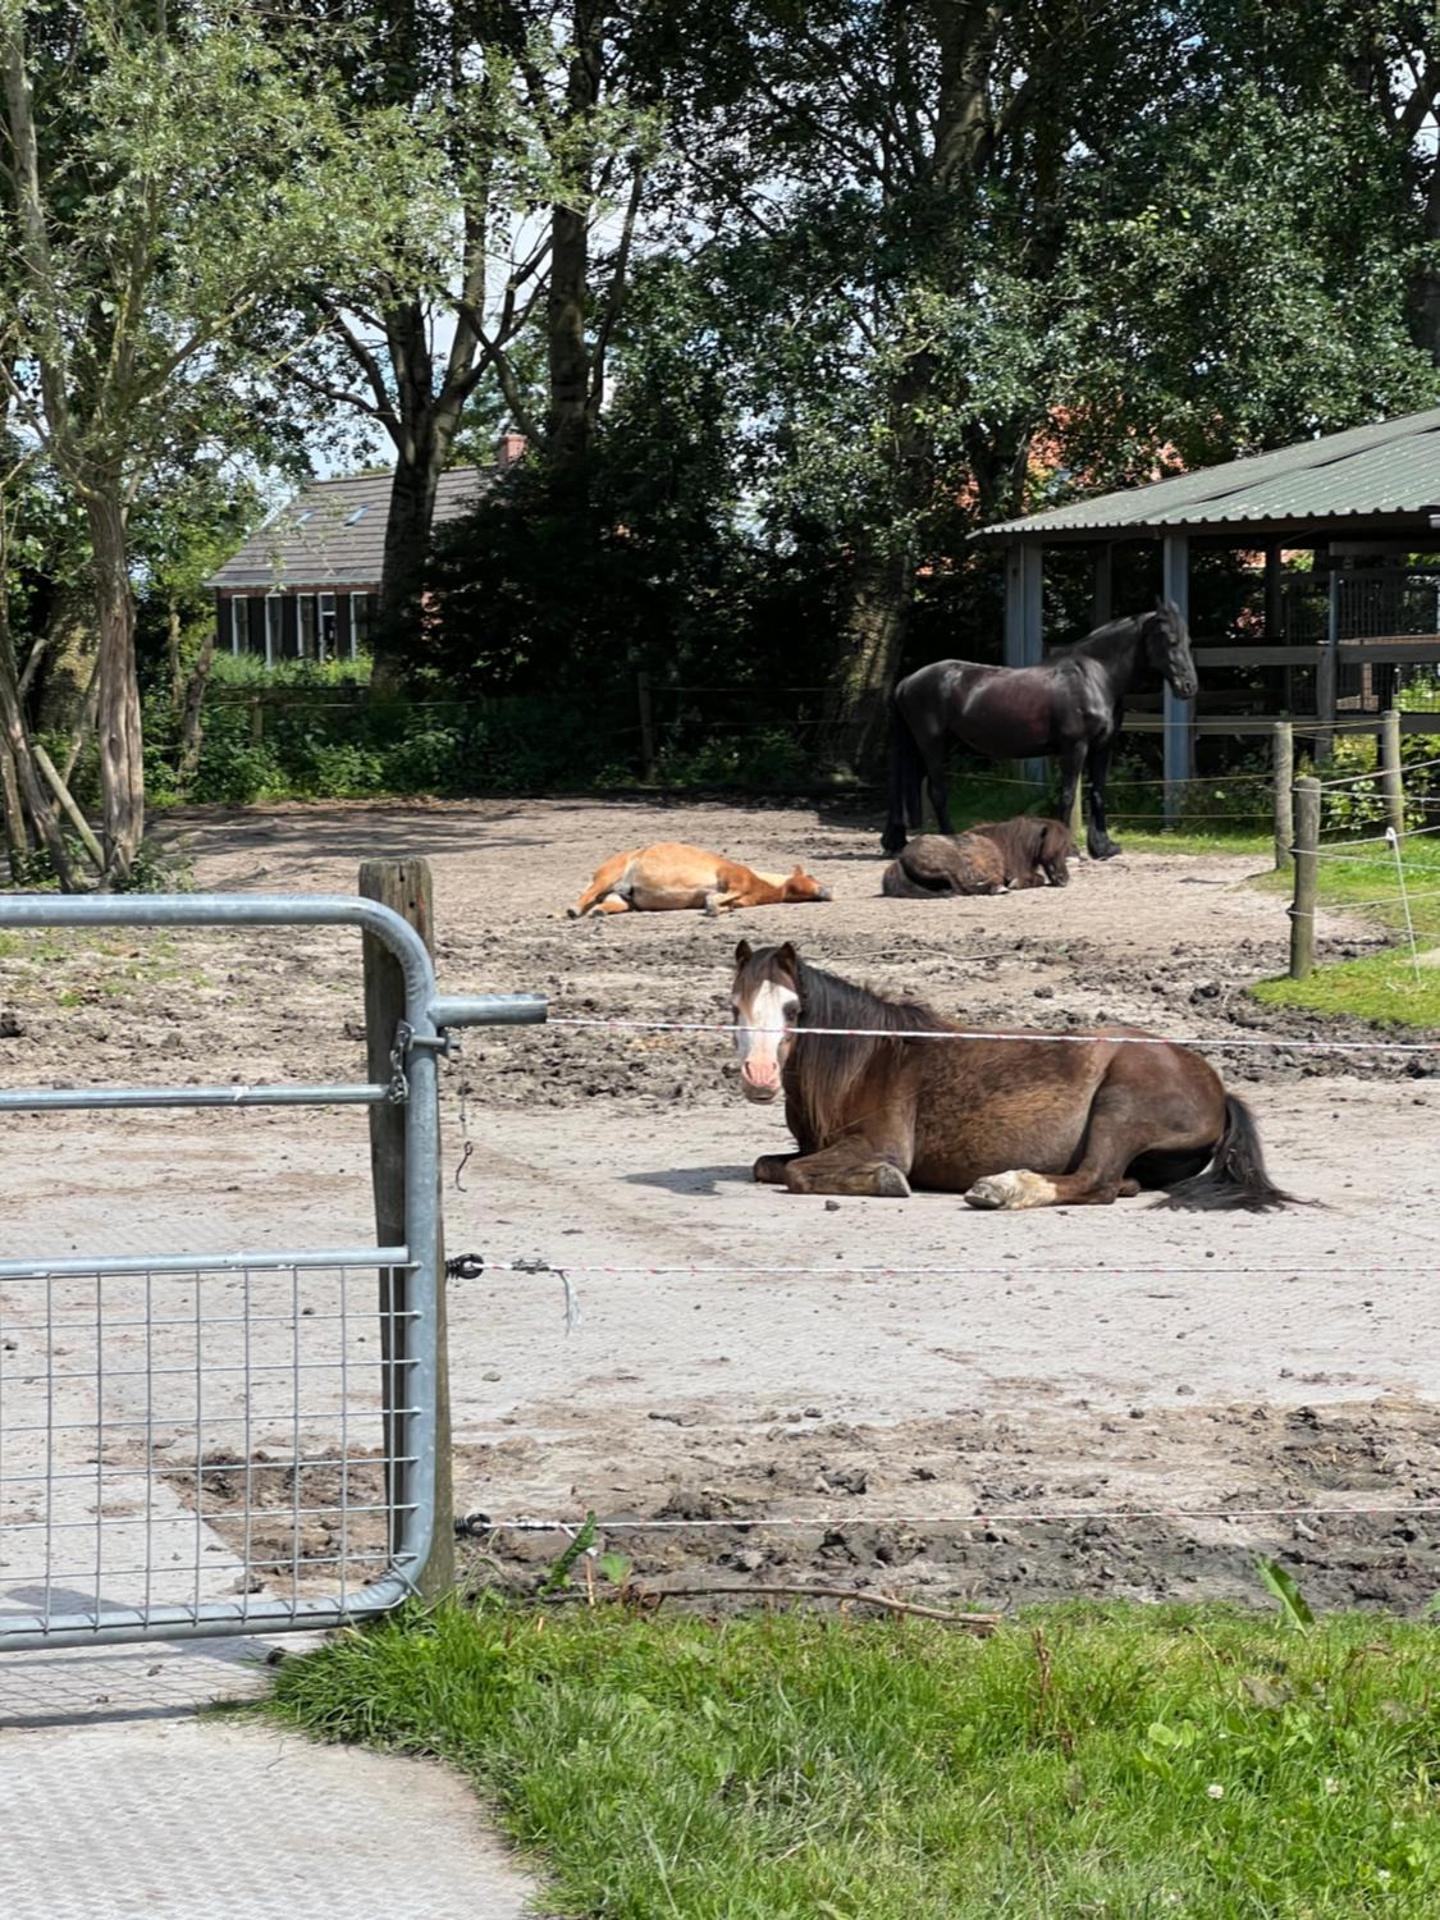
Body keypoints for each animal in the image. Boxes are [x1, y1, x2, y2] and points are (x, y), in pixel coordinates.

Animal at [569, 842, 832, 918]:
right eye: (810, 875)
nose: (828, 891)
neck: (759, 883)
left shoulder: (739, 897)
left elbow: (726, 904)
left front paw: (716, 907)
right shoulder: (733, 881)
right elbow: (719, 898)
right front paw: (712, 907)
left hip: (623, 898)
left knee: (606, 904)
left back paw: (599, 912)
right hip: (606, 878)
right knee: (587, 894)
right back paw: (573, 910)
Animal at [730, 940, 1291, 1211]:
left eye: (793, 1008)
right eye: (734, 1005)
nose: (759, 1077)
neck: (868, 1060)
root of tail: (1218, 1088)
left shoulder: (876, 1145)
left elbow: (800, 1175)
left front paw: (888, 1182)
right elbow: (768, 1165)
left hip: (1120, 1111)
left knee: (1097, 1182)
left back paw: (1001, 1189)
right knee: (1117, 1183)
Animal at [881, 601, 1199, 860]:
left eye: (1187, 640)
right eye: (1170, 640)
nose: (1188, 686)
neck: (1094, 676)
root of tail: (907, 682)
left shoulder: (1102, 746)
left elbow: (1098, 792)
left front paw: (1103, 847)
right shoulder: (1075, 747)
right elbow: (1068, 795)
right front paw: (1071, 849)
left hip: (923, 746)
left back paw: (896, 842)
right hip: (931, 744)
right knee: (937, 791)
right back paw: (953, 840)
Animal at [882, 816, 1074, 898]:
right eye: (1056, 848)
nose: (1064, 879)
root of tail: (901, 859)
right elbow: (1038, 878)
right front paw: (1015, 884)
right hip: (954, 867)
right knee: (964, 887)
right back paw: (998, 888)